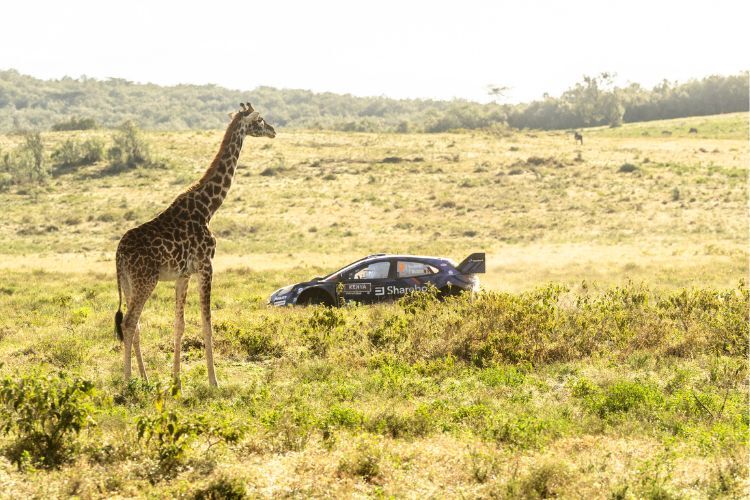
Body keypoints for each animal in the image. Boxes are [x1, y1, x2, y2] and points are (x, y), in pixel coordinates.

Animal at [113, 102, 274, 386]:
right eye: (260, 120)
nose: (274, 130)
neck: (208, 207)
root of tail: (118, 254)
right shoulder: (206, 265)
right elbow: (206, 322)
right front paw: (214, 381)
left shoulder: (183, 274)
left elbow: (180, 324)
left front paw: (176, 381)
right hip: (145, 281)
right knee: (129, 322)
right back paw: (128, 382)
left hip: (129, 283)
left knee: (136, 324)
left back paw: (144, 379)